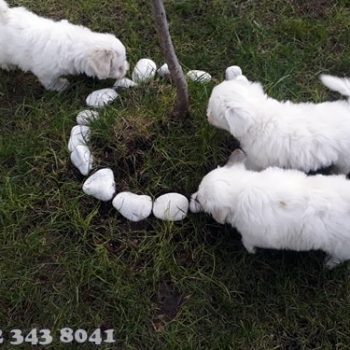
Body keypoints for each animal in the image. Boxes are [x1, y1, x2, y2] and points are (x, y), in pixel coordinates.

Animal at [0, 0, 129, 91]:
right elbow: (50, 82)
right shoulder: (46, 72)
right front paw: (61, 86)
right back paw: (9, 66)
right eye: (119, 68)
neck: (77, 43)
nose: (127, 69)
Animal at [191, 149, 350, 270]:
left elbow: (247, 242)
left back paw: (329, 263)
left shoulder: (252, 234)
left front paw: (251, 251)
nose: (191, 198)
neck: (242, 187)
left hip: (341, 247)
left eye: (198, 199)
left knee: (340, 257)